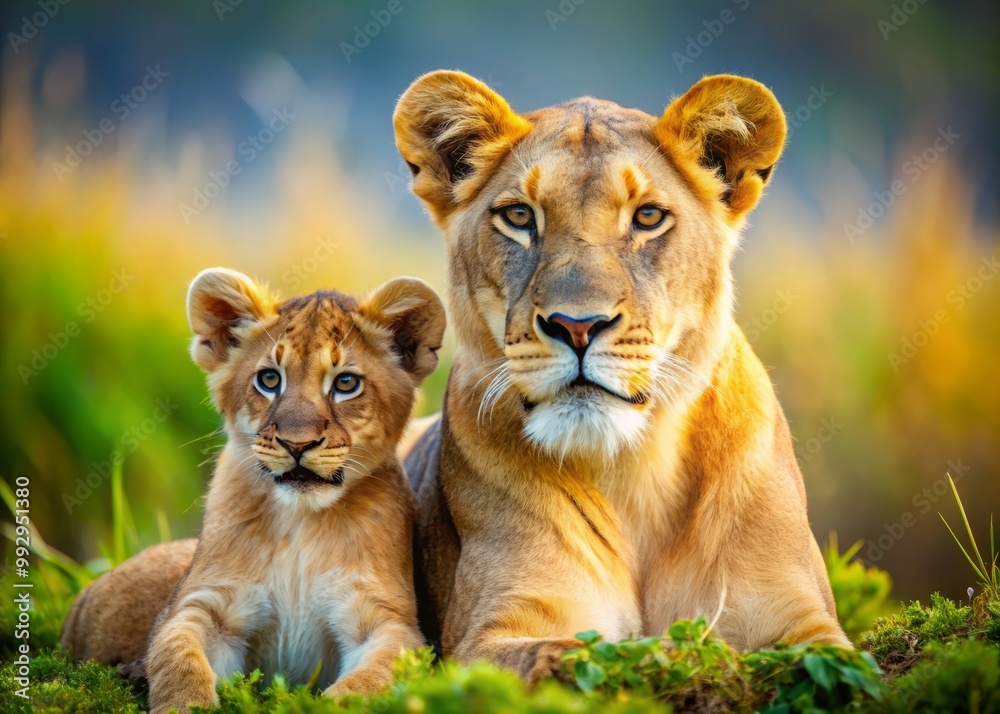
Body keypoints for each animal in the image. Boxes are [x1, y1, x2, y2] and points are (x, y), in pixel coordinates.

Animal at [61, 268, 445, 712]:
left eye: (346, 383)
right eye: (269, 379)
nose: (297, 444)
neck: (300, 523)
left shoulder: (388, 622)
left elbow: (363, 685)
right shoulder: (205, 605)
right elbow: (179, 659)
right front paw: (184, 702)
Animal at [393, 70, 850, 681]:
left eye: (647, 217)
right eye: (519, 217)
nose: (577, 325)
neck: (635, 469)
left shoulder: (806, 620)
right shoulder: (485, 640)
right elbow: (586, 653)